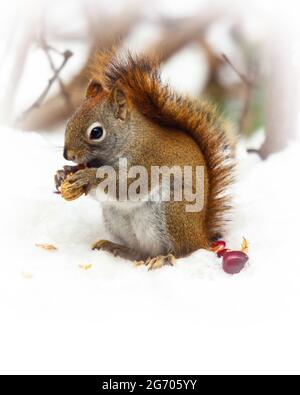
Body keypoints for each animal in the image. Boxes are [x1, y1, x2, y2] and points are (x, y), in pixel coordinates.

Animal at [55, 50, 236, 270]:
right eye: (69, 121)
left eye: (96, 132)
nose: (68, 155)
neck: (130, 139)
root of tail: (202, 236)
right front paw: (62, 173)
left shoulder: (148, 161)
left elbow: (127, 186)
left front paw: (88, 177)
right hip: (116, 219)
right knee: (140, 251)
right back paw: (116, 248)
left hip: (175, 210)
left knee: (185, 250)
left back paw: (165, 258)